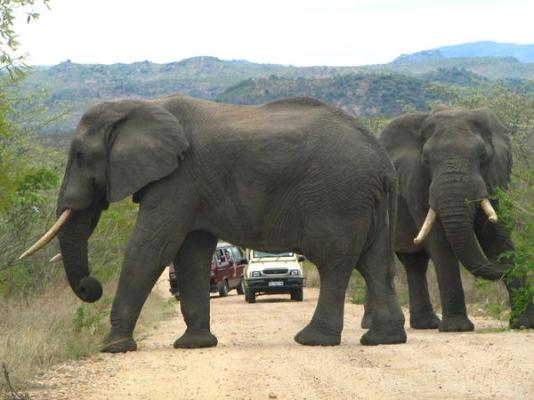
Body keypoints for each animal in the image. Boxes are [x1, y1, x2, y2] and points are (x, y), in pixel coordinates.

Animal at [18, 94, 408, 354]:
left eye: (80, 155)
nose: (91, 286)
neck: (142, 106)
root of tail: (384, 163)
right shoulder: (190, 187)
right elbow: (190, 254)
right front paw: (195, 345)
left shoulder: (177, 180)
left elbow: (153, 246)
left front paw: (112, 347)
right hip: (364, 200)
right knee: (375, 264)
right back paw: (383, 339)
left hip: (337, 197)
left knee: (334, 262)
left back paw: (312, 339)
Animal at [372, 106, 534, 332]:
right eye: (426, 160)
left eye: (482, 155)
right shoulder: (417, 183)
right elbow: (440, 243)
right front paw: (457, 328)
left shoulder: (493, 177)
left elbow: (495, 236)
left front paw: (524, 324)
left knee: (415, 262)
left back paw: (426, 325)